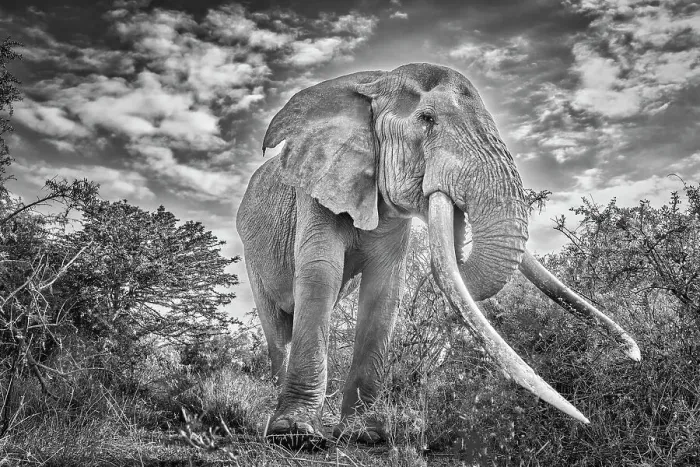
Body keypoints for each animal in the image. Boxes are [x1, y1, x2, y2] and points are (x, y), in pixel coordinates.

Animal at [236, 63, 640, 445]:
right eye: (427, 120)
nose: (635, 355)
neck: (375, 82)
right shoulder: (318, 183)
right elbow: (321, 272)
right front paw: (294, 434)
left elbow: (384, 289)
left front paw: (366, 434)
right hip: (251, 253)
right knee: (276, 327)